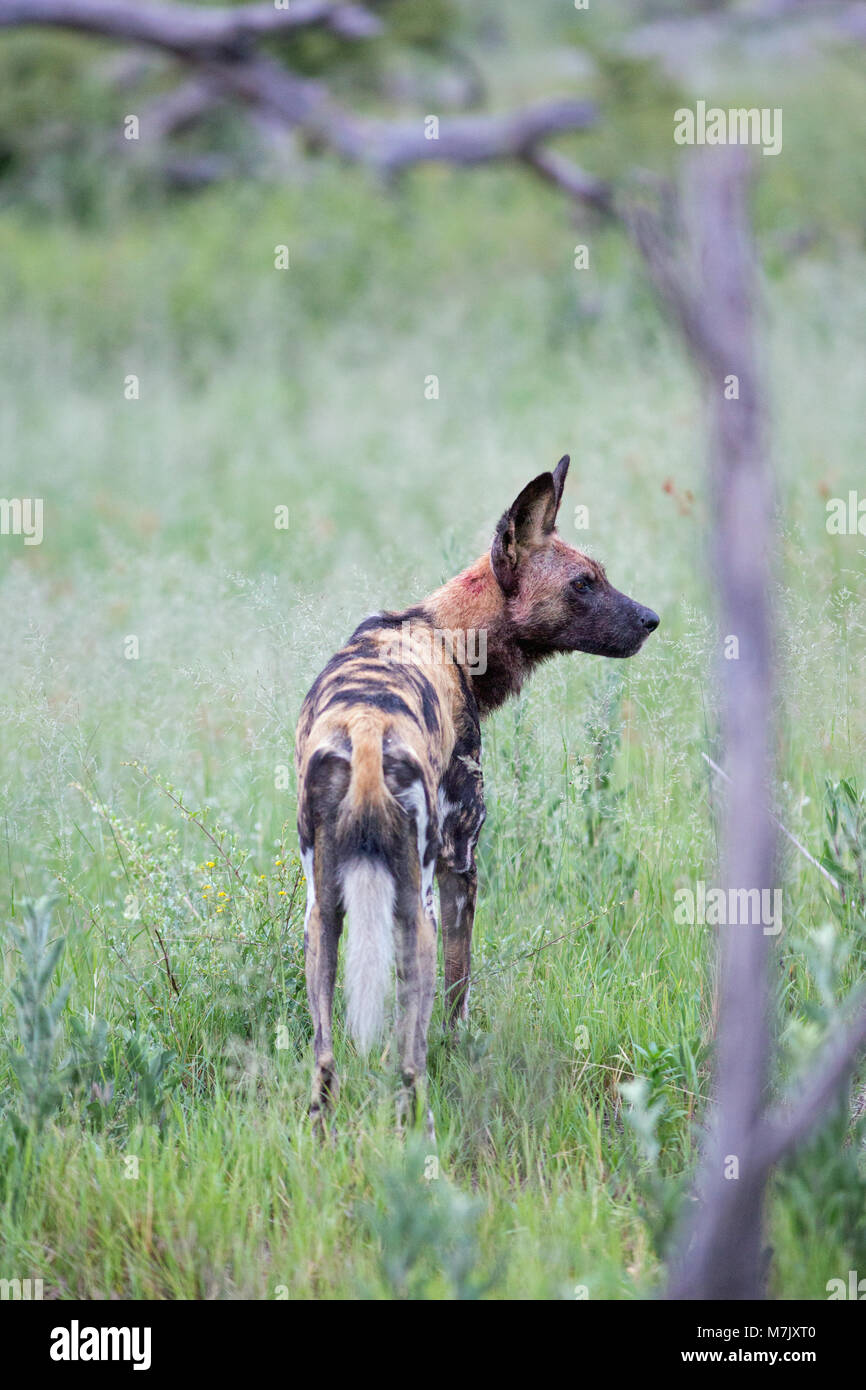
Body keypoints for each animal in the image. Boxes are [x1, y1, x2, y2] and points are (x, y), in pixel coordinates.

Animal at [294, 455, 661, 1128]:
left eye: (600, 577)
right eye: (582, 584)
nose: (652, 619)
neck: (448, 634)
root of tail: (365, 730)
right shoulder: (460, 867)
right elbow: (459, 992)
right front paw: (463, 1044)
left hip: (322, 916)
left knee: (325, 1058)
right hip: (416, 910)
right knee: (409, 1056)